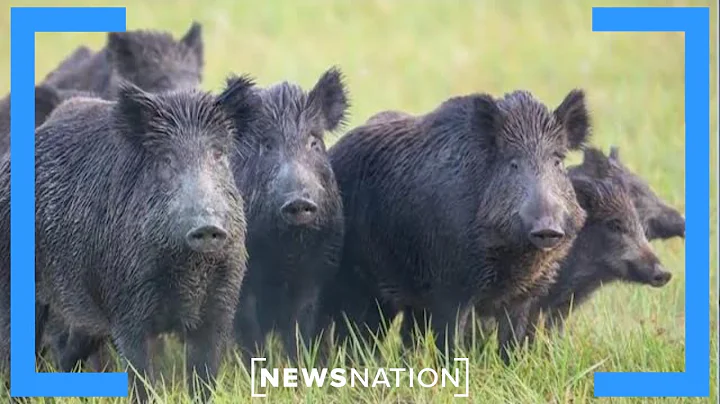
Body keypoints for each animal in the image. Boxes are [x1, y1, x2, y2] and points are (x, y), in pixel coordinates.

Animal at [0, 78, 258, 402]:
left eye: (218, 154)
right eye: (166, 159)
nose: (207, 226)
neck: (189, 270)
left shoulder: (219, 307)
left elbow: (203, 378)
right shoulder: (127, 310)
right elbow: (140, 377)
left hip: (85, 319)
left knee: (67, 354)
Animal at [227, 67, 347, 362]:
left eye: (314, 142)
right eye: (267, 145)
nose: (299, 201)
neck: (287, 251)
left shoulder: (317, 273)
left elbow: (300, 329)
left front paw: (301, 368)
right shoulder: (243, 282)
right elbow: (250, 333)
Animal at [320, 89, 591, 360]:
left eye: (558, 162)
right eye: (513, 163)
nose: (548, 228)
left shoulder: (524, 296)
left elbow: (511, 344)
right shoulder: (450, 287)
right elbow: (451, 342)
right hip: (356, 284)